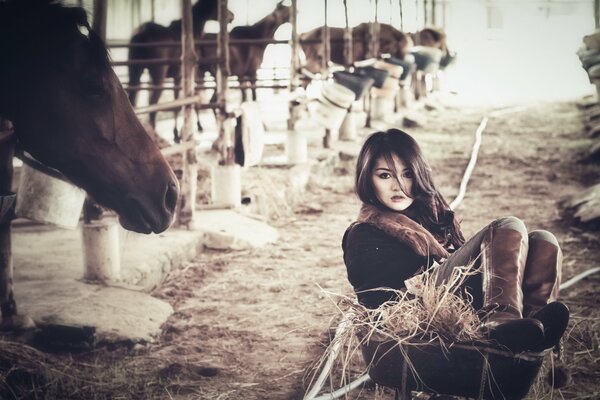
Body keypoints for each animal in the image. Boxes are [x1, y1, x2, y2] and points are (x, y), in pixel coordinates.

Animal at [127, 0, 233, 136]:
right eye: (217, 7)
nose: (231, 16)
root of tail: (143, 33)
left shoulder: (177, 77)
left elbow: (178, 101)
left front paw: (178, 132)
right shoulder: (187, 74)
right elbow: (183, 101)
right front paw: (182, 131)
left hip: (135, 71)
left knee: (133, 99)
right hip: (158, 74)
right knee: (153, 101)